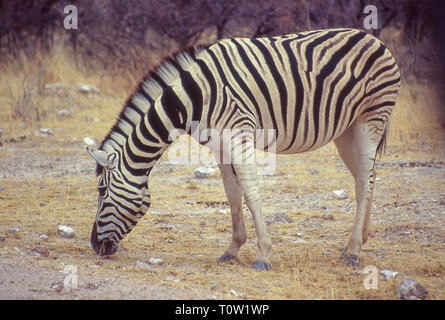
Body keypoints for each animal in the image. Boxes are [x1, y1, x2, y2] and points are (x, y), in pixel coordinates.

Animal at [86, 28, 398, 270]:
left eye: (101, 190)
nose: (95, 245)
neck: (194, 98)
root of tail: (374, 39)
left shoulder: (239, 133)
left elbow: (250, 191)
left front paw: (262, 255)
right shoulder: (219, 145)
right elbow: (232, 193)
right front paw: (233, 249)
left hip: (371, 119)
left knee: (365, 179)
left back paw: (354, 251)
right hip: (345, 130)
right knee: (366, 179)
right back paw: (358, 241)